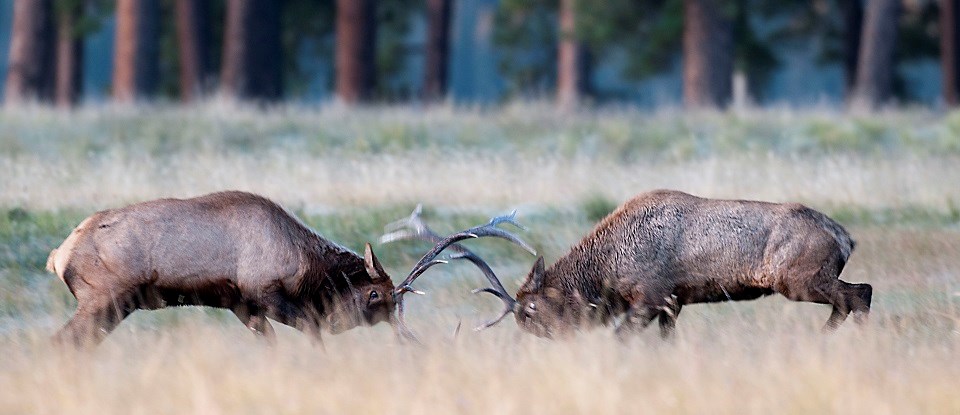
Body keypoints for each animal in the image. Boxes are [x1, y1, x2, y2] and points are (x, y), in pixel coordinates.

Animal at [47, 192, 532, 348]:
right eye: (375, 294)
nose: (341, 322)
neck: (306, 268)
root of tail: (58, 255)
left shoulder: (243, 306)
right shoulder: (267, 295)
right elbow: (312, 335)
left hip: (114, 306)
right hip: (105, 299)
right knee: (62, 342)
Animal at [382, 190, 872, 340]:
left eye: (533, 309)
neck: (608, 271)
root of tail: (845, 236)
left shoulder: (651, 297)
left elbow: (621, 338)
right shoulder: (673, 304)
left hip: (799, 279)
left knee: (860, 294)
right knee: (853, 297)